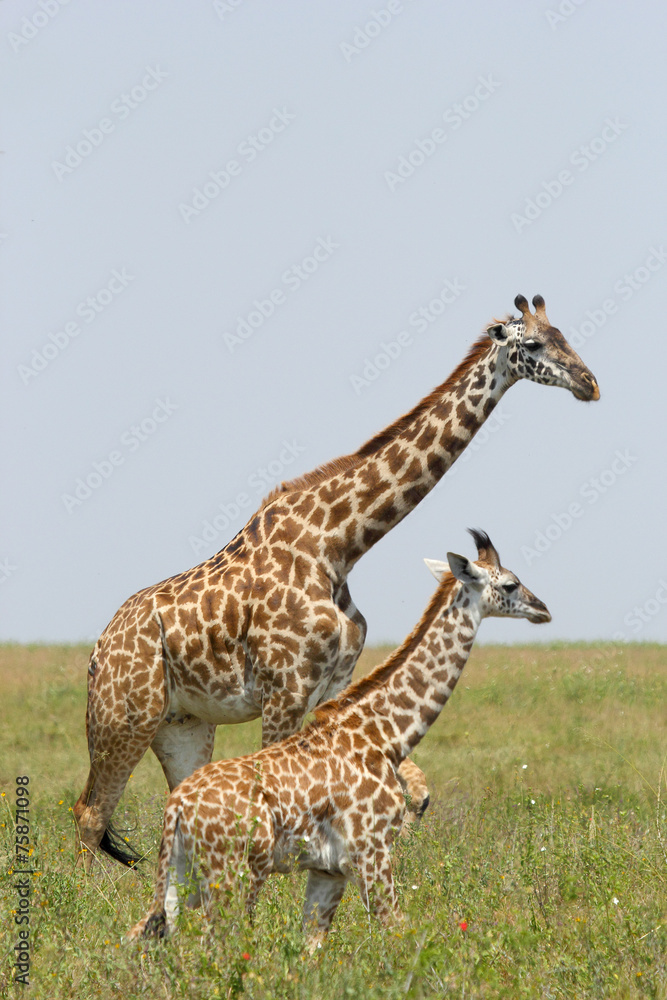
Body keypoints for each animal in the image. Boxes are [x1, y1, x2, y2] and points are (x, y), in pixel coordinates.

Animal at [74, 294, 598, 869]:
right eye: (535, 345)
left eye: (567, 337)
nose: (589, 382)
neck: (339, 544)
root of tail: (99, 649)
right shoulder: (284, 688)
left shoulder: (334, 683)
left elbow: (415, 792)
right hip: (125, 715)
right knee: (90, 813)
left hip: (184, 721)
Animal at [125, 530, 551, 951]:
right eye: (510, 584)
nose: (543, 610)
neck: (385, 737)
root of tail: (177, 807)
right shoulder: (370, 852)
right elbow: (399, 933)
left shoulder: (329, 870)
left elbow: (310, 950)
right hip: (233, 874)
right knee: (215, 947)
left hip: (183, 876)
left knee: (142, 934)